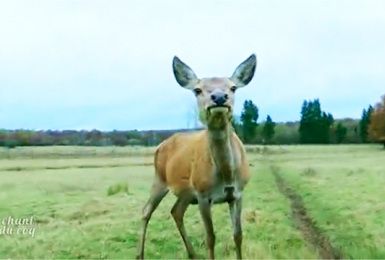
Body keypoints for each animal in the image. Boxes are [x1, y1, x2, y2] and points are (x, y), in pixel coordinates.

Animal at [136, 53, 256, 258]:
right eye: (197, 90)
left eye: (233, 87)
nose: (219, 97)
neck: (226, 174)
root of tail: (160, 146)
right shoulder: (202, 194)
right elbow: (210, 238)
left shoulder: (238, 193)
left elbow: (238, 235)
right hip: (160, 178)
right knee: (146, 211)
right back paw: (140, 254)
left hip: (185, 192)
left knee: (176, 211)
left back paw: (192, 254)